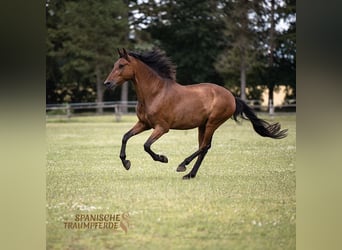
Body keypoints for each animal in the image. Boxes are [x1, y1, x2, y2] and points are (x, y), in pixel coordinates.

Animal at [103, 47, 286, 179]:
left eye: (121, 65)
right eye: (114, 65)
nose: (107, 83)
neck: (155, 93)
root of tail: (231, 96)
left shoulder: (162, 128)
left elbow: (146, 146)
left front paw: (163, 158)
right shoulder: (144, 124)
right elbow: (125, 137)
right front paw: (126, 162)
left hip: (212, 123)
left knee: (205, 146)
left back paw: (183, 165)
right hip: (202, 125)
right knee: (203, 148)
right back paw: (190, 174)